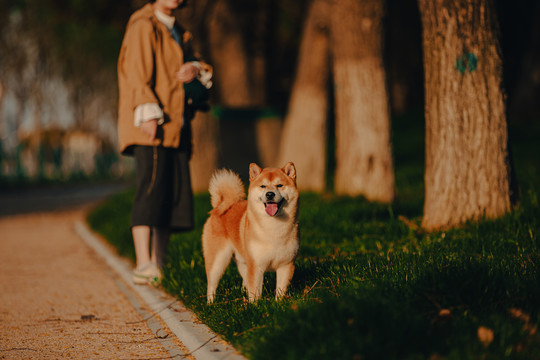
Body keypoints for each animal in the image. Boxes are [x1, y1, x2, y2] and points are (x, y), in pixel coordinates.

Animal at [201, 162, 300, 302]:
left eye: (279, 185)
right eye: (263, 186)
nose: (270, 194)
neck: (273, 228)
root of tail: (218, 207)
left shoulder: (286, 265)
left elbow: (280, 290)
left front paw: (278, 304)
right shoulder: (256, 266)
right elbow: (255, 292)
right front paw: (255, 305)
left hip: (242, 260)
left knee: (244, 279)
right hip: (218, 260)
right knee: (212, 284)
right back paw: (211, 303)